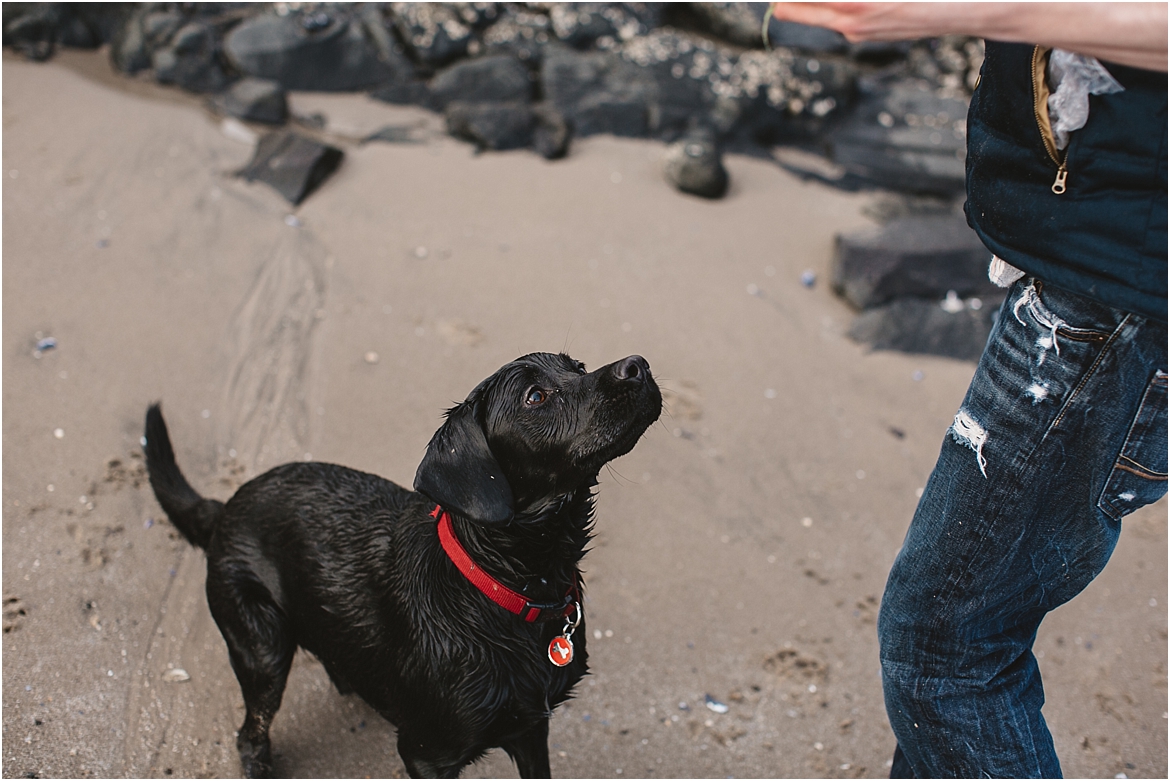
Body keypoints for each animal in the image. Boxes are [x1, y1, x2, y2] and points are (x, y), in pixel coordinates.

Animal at [139, 355, 659, 781]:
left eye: (578, 366)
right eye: (536, 397)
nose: (638, 365)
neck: (507, 587)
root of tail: (225, 506)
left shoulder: (531, 731)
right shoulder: (426, 754)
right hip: (262, 648)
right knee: (250, 735)